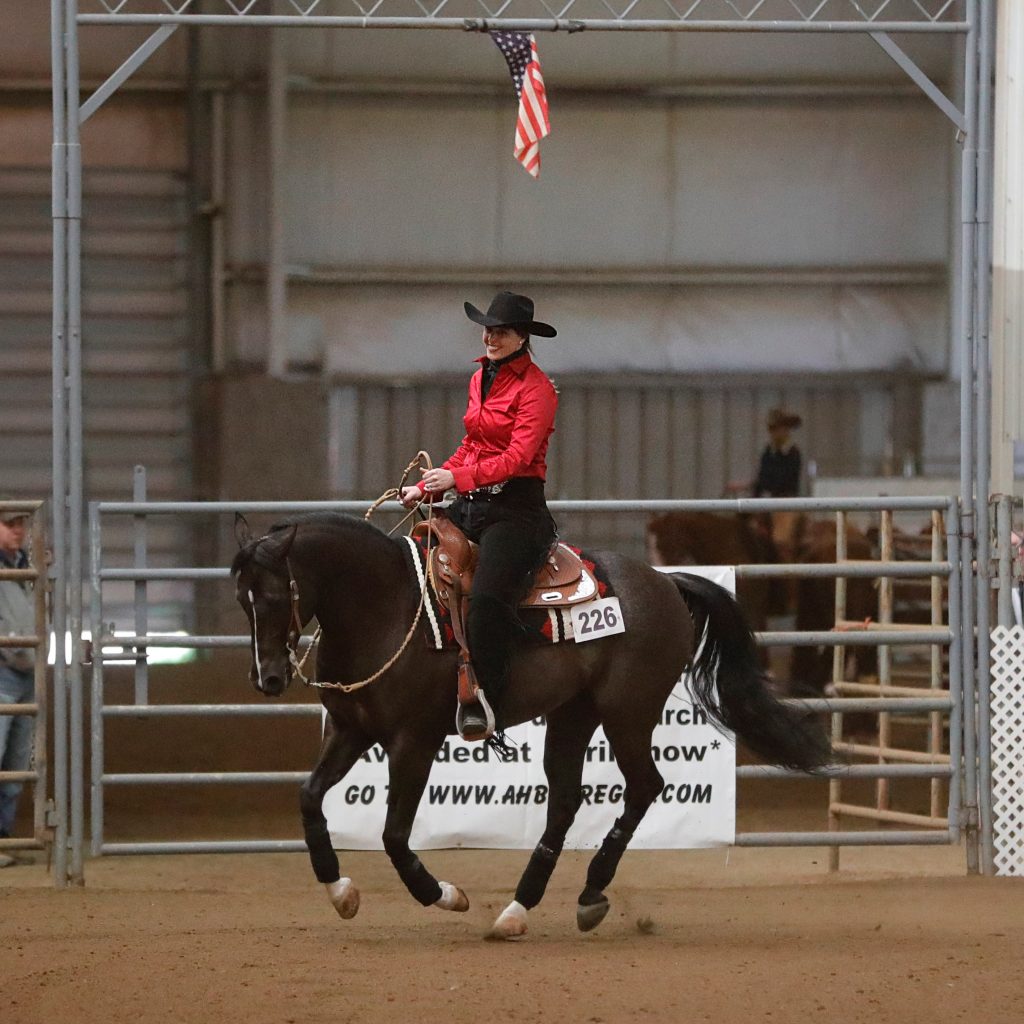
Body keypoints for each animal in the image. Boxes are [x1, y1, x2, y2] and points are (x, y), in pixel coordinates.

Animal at [232, 516, 831, 937]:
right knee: (565, 801)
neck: (386, 607)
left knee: (644, 787)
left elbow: (394, 836)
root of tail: (664, 582)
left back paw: (589, 892)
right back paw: (520, 909)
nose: (268, 677)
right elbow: (310, 797)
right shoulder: (351, 730)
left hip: (628, 711)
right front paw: (341, 892)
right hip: (574, 713)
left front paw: (445, 894)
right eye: (242, 600)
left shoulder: (413, 741)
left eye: (272, 595)